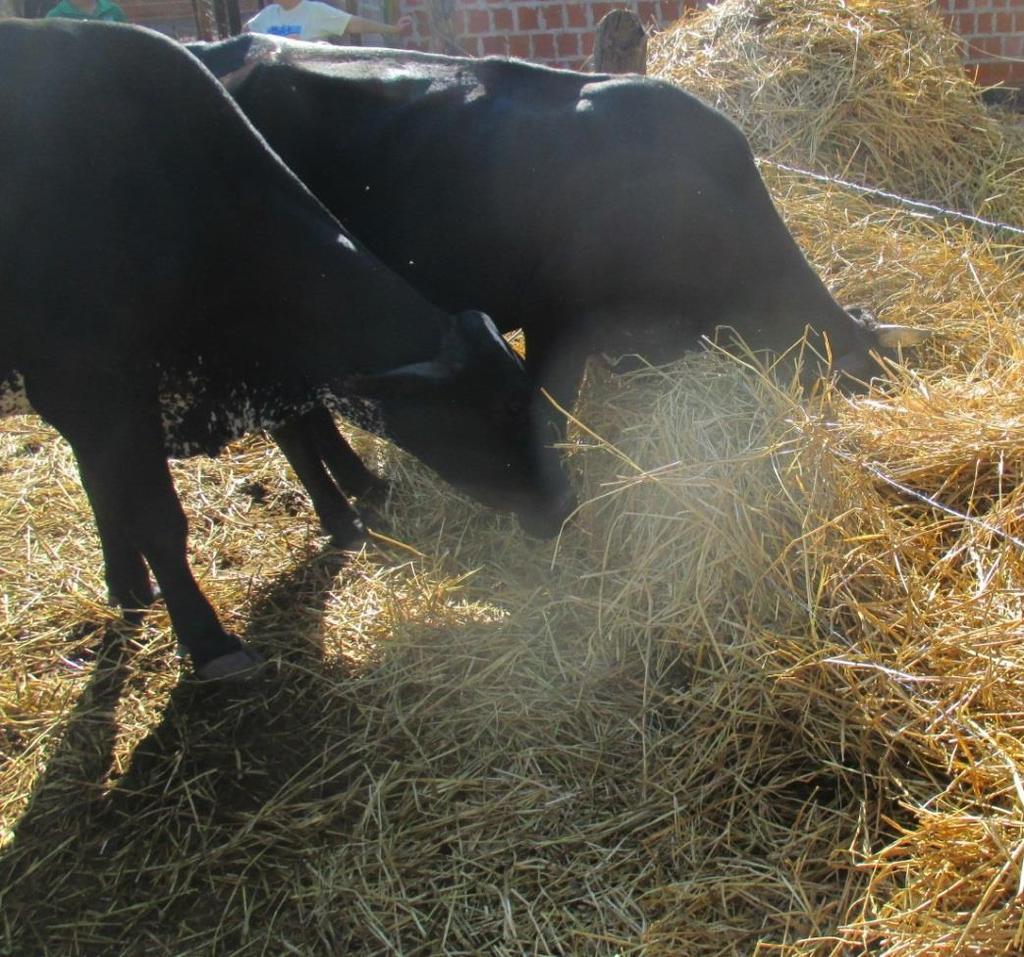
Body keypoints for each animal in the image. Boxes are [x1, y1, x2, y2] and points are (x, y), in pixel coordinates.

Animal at [0, 22, 573, 679]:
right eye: (502, 410)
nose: (564, 502)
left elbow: (295, 437)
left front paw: (342, 519)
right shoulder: (94, 394)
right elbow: (157, 518)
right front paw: (208, 641)